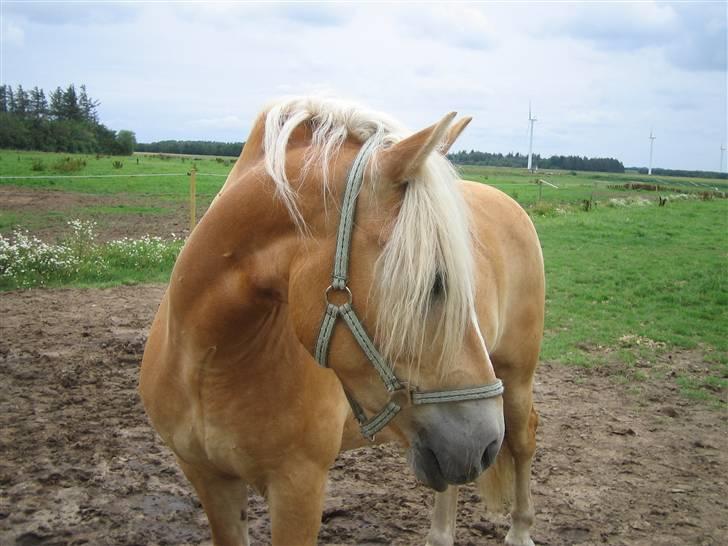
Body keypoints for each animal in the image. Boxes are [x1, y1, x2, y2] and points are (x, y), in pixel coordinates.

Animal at [139, 95, 544, 540]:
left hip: (516, 377)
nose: (484, 442)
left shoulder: (298, 486)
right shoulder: (208, 479)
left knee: (525, 438)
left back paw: (520, 531)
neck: (211, 362)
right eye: (436, 282)